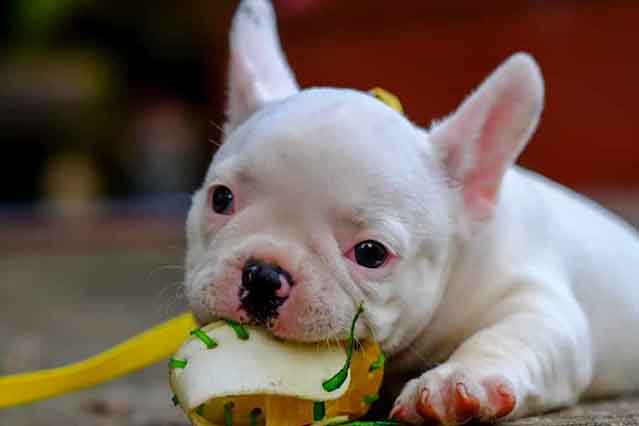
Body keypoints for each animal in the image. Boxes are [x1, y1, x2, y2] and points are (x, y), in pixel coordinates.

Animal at [182, 1, 636, 424]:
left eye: (371, 253)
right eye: (220, 199)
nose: (263, 275)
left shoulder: (535, 301)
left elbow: (509, 336)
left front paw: (460, 381)